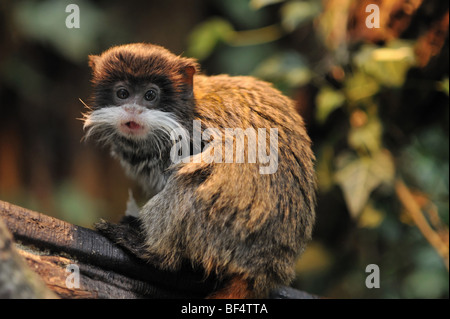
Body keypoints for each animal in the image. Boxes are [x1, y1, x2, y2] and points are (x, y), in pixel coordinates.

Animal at [83, 43, 316, 300]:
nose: (132, 110)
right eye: (122, 94)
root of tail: (265, 270)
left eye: (150, 95)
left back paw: (153, 252)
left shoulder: (194, 133)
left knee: (188, 184)